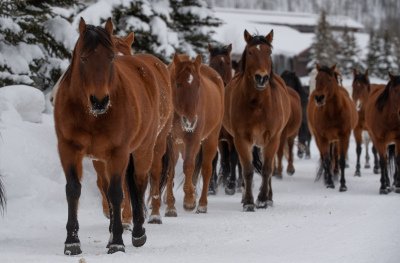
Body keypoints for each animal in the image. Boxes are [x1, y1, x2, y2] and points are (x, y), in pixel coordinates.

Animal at [53, 18, 172, 256]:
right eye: (83, 58)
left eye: (110, 58)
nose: (100, 100)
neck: (90, 115)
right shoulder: (68, 149)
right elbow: (74, 190)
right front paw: (72, 242)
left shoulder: (119, 153)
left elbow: (117, 193)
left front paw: (117, 241)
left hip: (144, 150)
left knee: (139, 183)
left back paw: (138, 232)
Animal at [163, 53, 225, 217]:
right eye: (178, 84)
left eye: (198, 85)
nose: (190, 121)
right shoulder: (170, 141)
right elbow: (170, 171)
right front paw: (170, 206)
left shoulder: (193, 139)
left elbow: (189, 166)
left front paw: (190, 200)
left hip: (210, 139)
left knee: (206, 169)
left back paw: (202, 204)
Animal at [222, 29, 290, 211]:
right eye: (251, 52)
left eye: (269, 52)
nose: (261, 78)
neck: (258, 105)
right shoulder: (241, 139)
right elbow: (247, 170)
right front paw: (248, 201)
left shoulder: (273, 139)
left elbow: (267, 170)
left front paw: (263, 199)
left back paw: (269, 197)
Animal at [308, 64, 358, 192]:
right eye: (317, 79)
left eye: (329, 80)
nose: (319, 98)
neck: (332, 113)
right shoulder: (322, 138)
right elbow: (326, 160)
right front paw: (329, 183)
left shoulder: (344, 137)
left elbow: (341, 159)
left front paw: (343, 185)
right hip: (321, 139)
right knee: (326, 158)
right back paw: (327, 178)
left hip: (335, 140)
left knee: (335, 155)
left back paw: (335, 175)